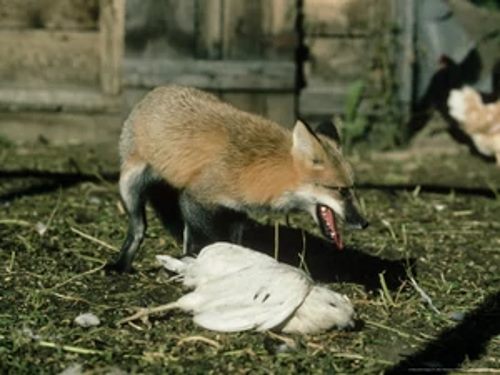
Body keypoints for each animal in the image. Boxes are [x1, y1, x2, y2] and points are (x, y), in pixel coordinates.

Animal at [109, 85, 368, 274]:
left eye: (354, 189)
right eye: (341, 190)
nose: (365, 223)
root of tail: (157, 91)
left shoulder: (236, 211)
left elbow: (234, 243)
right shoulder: (195, 198)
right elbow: (213, 241)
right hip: (130, 185)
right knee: (139, 229)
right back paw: (121, 265)